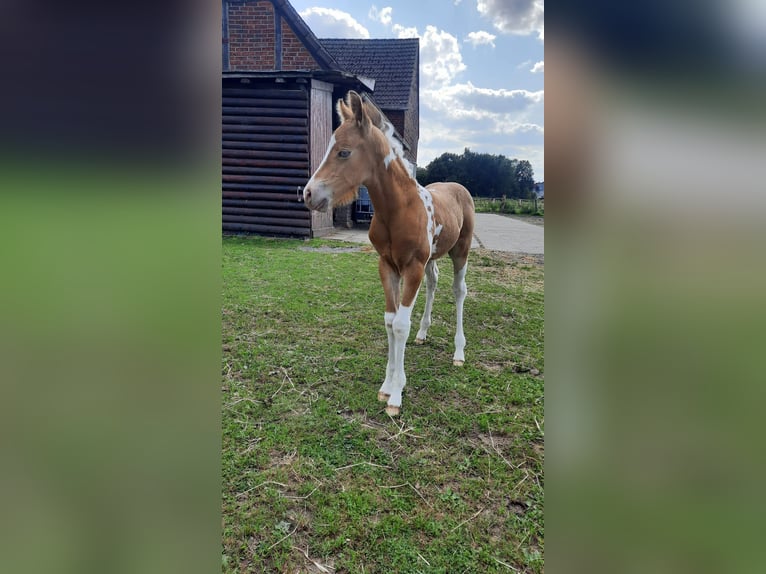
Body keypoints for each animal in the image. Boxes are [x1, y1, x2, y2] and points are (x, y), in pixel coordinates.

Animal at [304, 90, 474, 416]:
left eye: (343, 152)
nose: (308, 194)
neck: (399, 209)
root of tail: (458, 187)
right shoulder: (387, 265)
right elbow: (389, 320)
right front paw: (387, 385)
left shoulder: (413, 267)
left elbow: (400, 325)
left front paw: (396, 395)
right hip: (431, 258)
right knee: (433, 284)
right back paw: (423, 334)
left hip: (461, 250)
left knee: (459, 291)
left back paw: (459, 352)